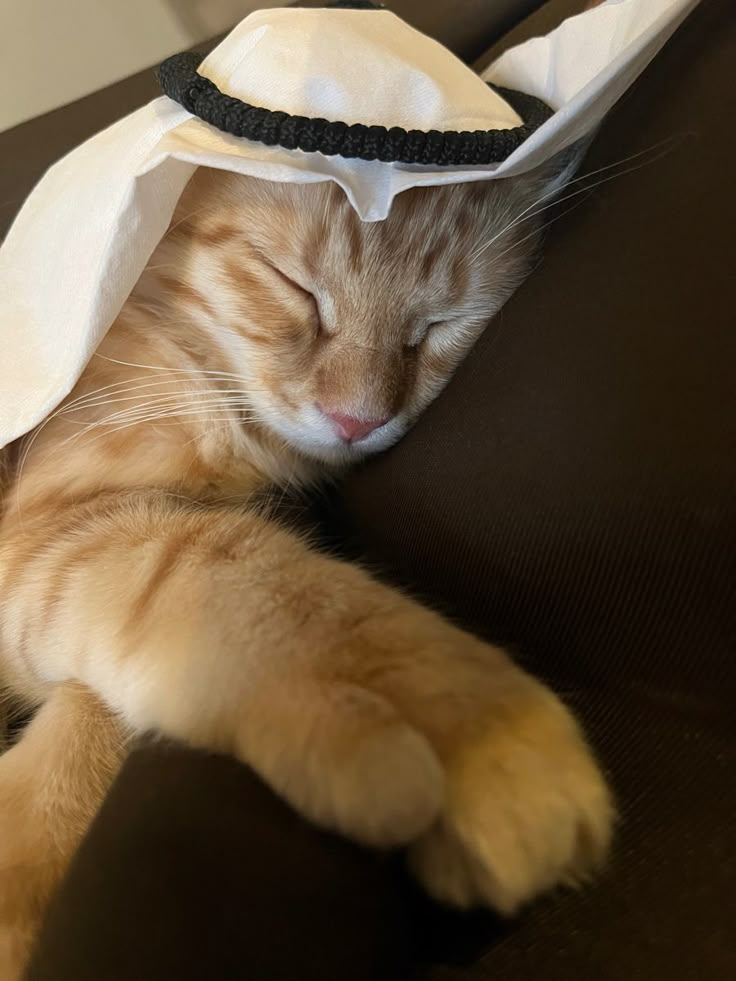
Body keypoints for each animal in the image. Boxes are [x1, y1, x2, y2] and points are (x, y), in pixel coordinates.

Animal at [0, 168, 608, 972]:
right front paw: (466, 721)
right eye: (296, 288)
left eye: (439, 324)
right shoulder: (47, 530)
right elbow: (240, 577)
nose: (357, 420)